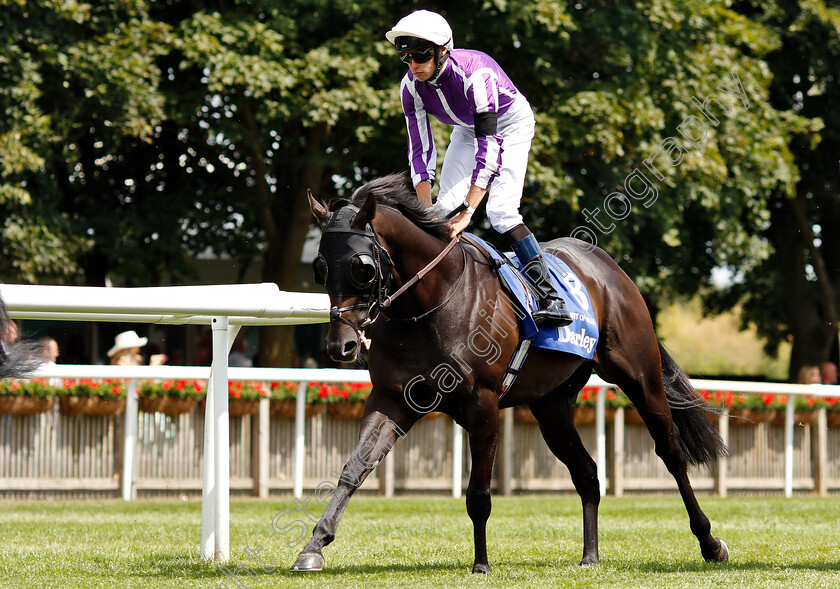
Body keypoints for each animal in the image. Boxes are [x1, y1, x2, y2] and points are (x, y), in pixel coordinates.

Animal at [290, 172, 728, 572]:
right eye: (320, 267)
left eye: (362, 266)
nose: (340, 345)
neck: (430, 302)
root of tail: (608, 267)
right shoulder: (391, 399)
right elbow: (353, 470)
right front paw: (314, 546)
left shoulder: (482, 405)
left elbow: (478, 493)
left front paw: (481, 564)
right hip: (552, 406)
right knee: (586, 472)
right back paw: (590, 556)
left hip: (640, 378)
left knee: (671, 453)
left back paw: (710, 542)